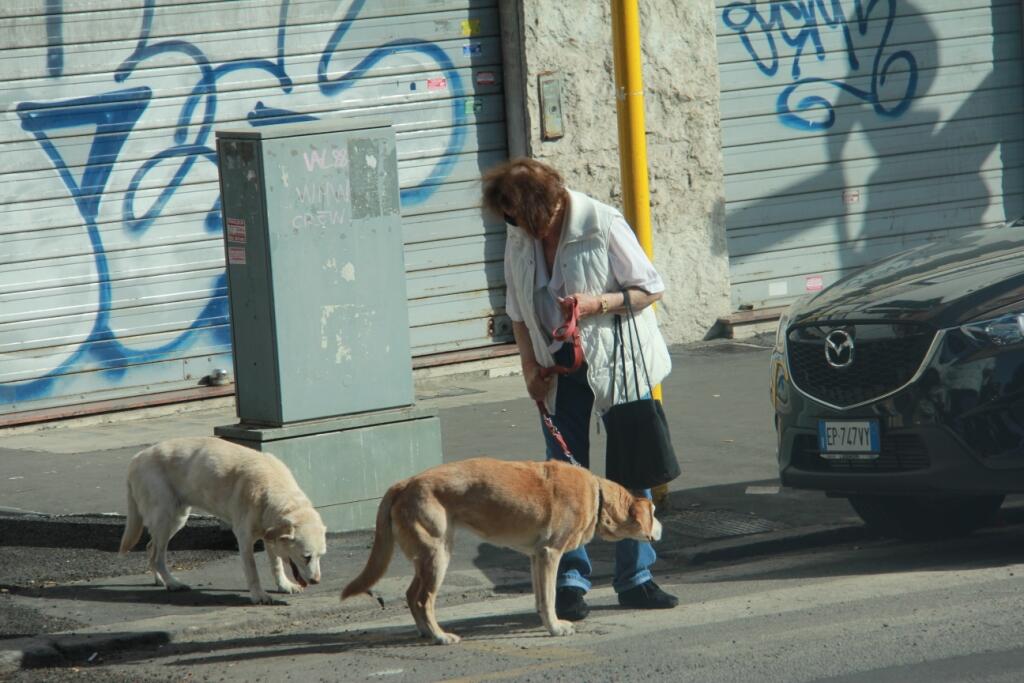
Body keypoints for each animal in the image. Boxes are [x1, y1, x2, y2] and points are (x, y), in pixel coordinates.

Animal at [119, 438, 327, 602]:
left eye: (320, 556)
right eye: (306, 556)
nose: (316, 581)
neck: (273, 489)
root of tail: (136, 457)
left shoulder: (269, 534)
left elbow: (276, 564)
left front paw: (284, 585)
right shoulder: (244, 539)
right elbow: (252, 570)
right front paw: (258, 595)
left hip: (177, 519)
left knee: (150, 548)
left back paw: (160, 580)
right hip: (166, 517)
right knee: (157, 556)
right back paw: (172, 583)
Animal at [339, 456, 659, 643]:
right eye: (655, 512)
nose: (661, 529)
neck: (598, 495)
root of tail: (404, 483)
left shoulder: (536, 556)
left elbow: (541, 597)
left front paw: (546, 621)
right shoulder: (551, 554)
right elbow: (550, 597)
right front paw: (555, 628)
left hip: (428, 557)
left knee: (410, 595)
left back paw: (425, 631)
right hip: (438, 555)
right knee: (422, 599)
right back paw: (440, 636)